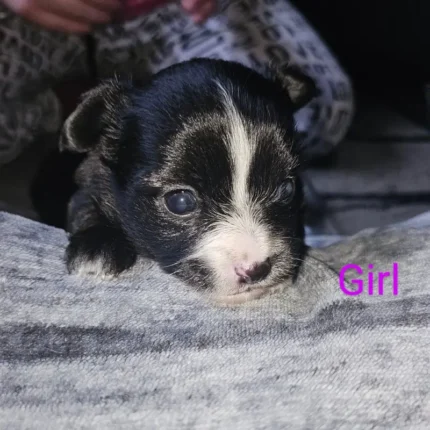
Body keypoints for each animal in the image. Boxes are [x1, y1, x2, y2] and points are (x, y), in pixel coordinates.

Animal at [60, 58, 316, 304]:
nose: (256, 270)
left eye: (286, 189)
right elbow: (85, 205)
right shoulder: (90, 183)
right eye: (181, 202)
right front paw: (96, 246)